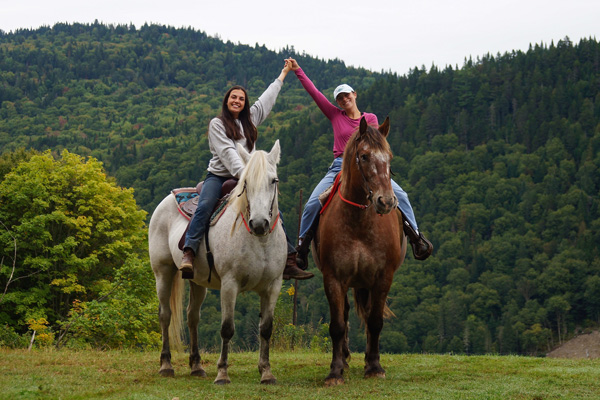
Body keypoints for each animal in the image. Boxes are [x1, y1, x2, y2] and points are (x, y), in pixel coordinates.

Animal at [146, 141, 284, 384]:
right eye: (246, 183)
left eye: (273, 180)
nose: (259, 223)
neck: (260, 241)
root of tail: (169, 197)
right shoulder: (230, 284)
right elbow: (227, 328)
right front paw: (222, 374)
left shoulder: (273, 286)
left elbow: (266, 329)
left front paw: (266, 372)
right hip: (163, 273)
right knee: (165, 315)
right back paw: (166, 365)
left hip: (197, 281)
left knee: (192, 317)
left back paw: (196, 366)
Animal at [314, 115, 408, 384]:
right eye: (364, 156)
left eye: (389, 156)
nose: (386, 201)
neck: (358, 221)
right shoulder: (333, 278)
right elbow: (337, 325)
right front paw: (335, 371)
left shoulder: (383, 277)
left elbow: (375, 322)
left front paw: (374, 367)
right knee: (345, 315)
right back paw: (345, 358)